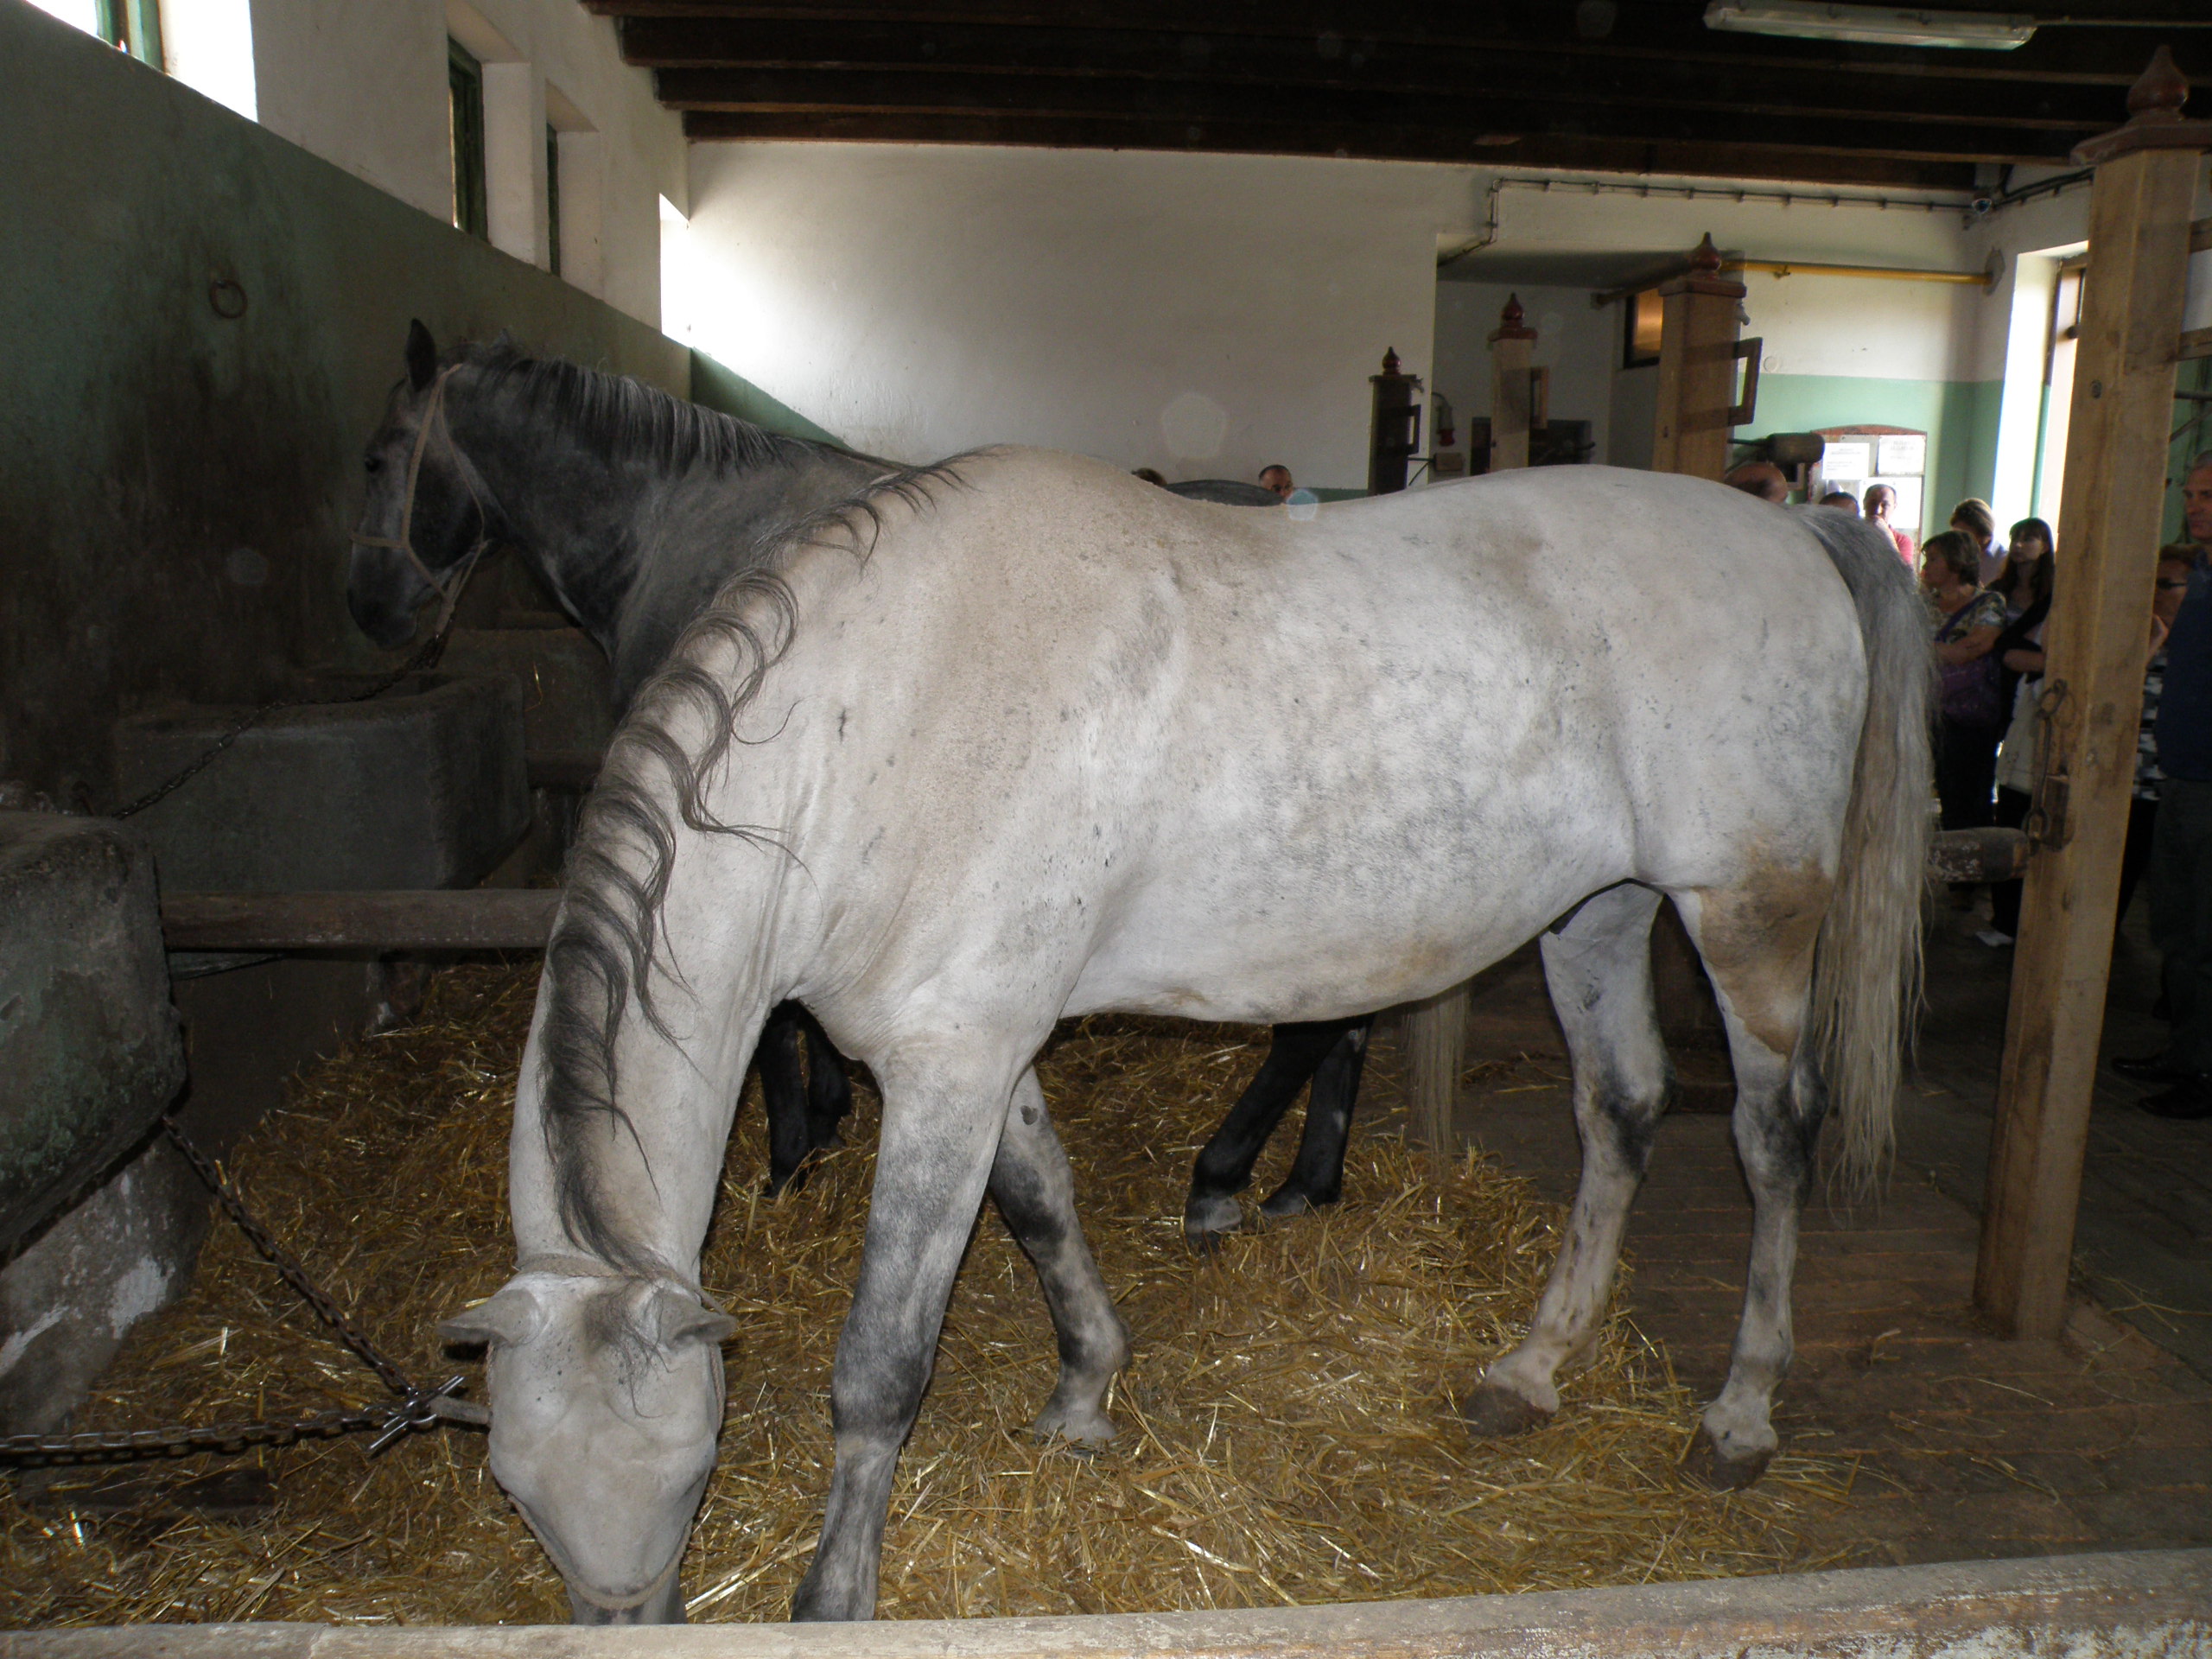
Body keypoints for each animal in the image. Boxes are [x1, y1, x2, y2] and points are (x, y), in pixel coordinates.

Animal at [346, 323, 1374, 1222]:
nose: (368, 609)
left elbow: (772, 1020)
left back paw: (1227, 1175)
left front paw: (792, 1150)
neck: (678, 525)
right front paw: (829, 1110)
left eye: (375, 459)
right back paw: (1304, 1182)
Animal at [435, 448, 1928, 1623]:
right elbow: (1045, 1207)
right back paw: (1529, 1372)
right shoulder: (976, 1056)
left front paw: (835, 1597)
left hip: (1746, 915)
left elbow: (882, 1366)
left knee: (1770, 1138)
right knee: (1618, 1112)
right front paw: (1086, 1394)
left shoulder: (944, 1076)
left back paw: (1739, 1414)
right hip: (1600, 912)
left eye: (690, 1472)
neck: (882, 727)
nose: (623, 1622)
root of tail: (1800, 528)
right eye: (515, 1490)